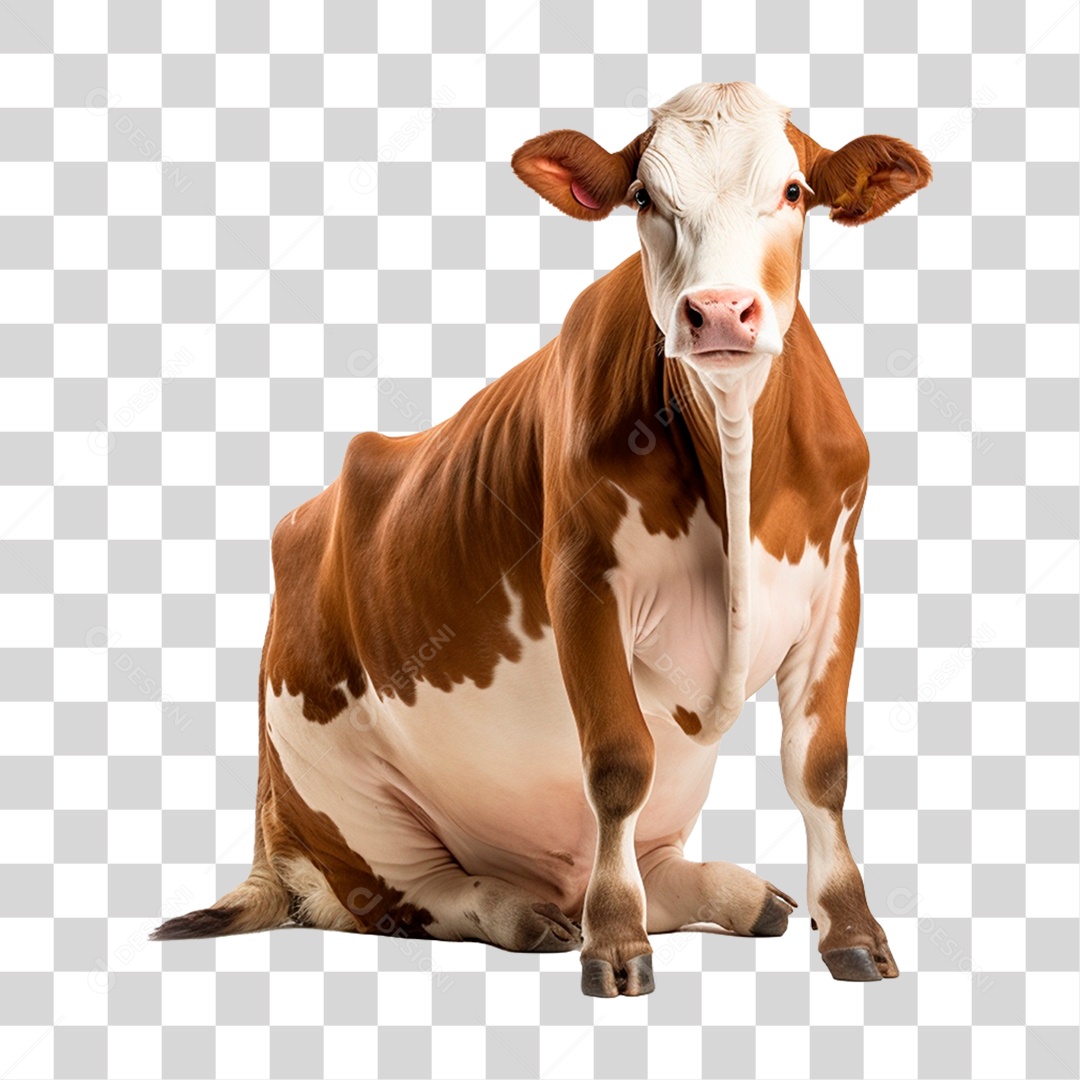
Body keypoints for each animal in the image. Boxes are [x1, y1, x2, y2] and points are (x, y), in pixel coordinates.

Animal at [153, 82, 931, 997]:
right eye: (645, 199)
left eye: (794, 191)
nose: (718, 312)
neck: (734, 448)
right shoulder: (583, 582)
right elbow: (618, 764)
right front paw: (617, 945)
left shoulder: (836, 583)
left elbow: (820, 767)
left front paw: (853, 932)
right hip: (336, 785)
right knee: (404, 895)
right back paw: (522, 912)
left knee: (647, 864)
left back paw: (744, 898)